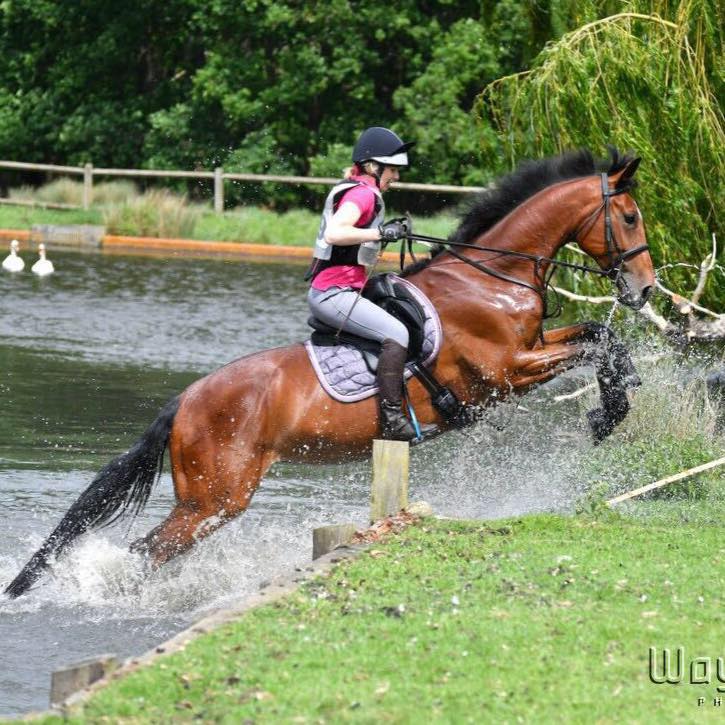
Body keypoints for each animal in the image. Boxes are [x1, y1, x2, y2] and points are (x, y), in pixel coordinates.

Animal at [4, 148, 655, 598]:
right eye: (628, 217)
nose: (646, 288)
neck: (487, 279)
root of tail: (184, 402)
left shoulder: (532, 350)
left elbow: (601, 338)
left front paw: (613, 404)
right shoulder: (504, 375)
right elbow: (598, 344)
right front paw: (607, 414)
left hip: (209, 501)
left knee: (155, 552)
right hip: (215, 499)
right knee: (148, 551)